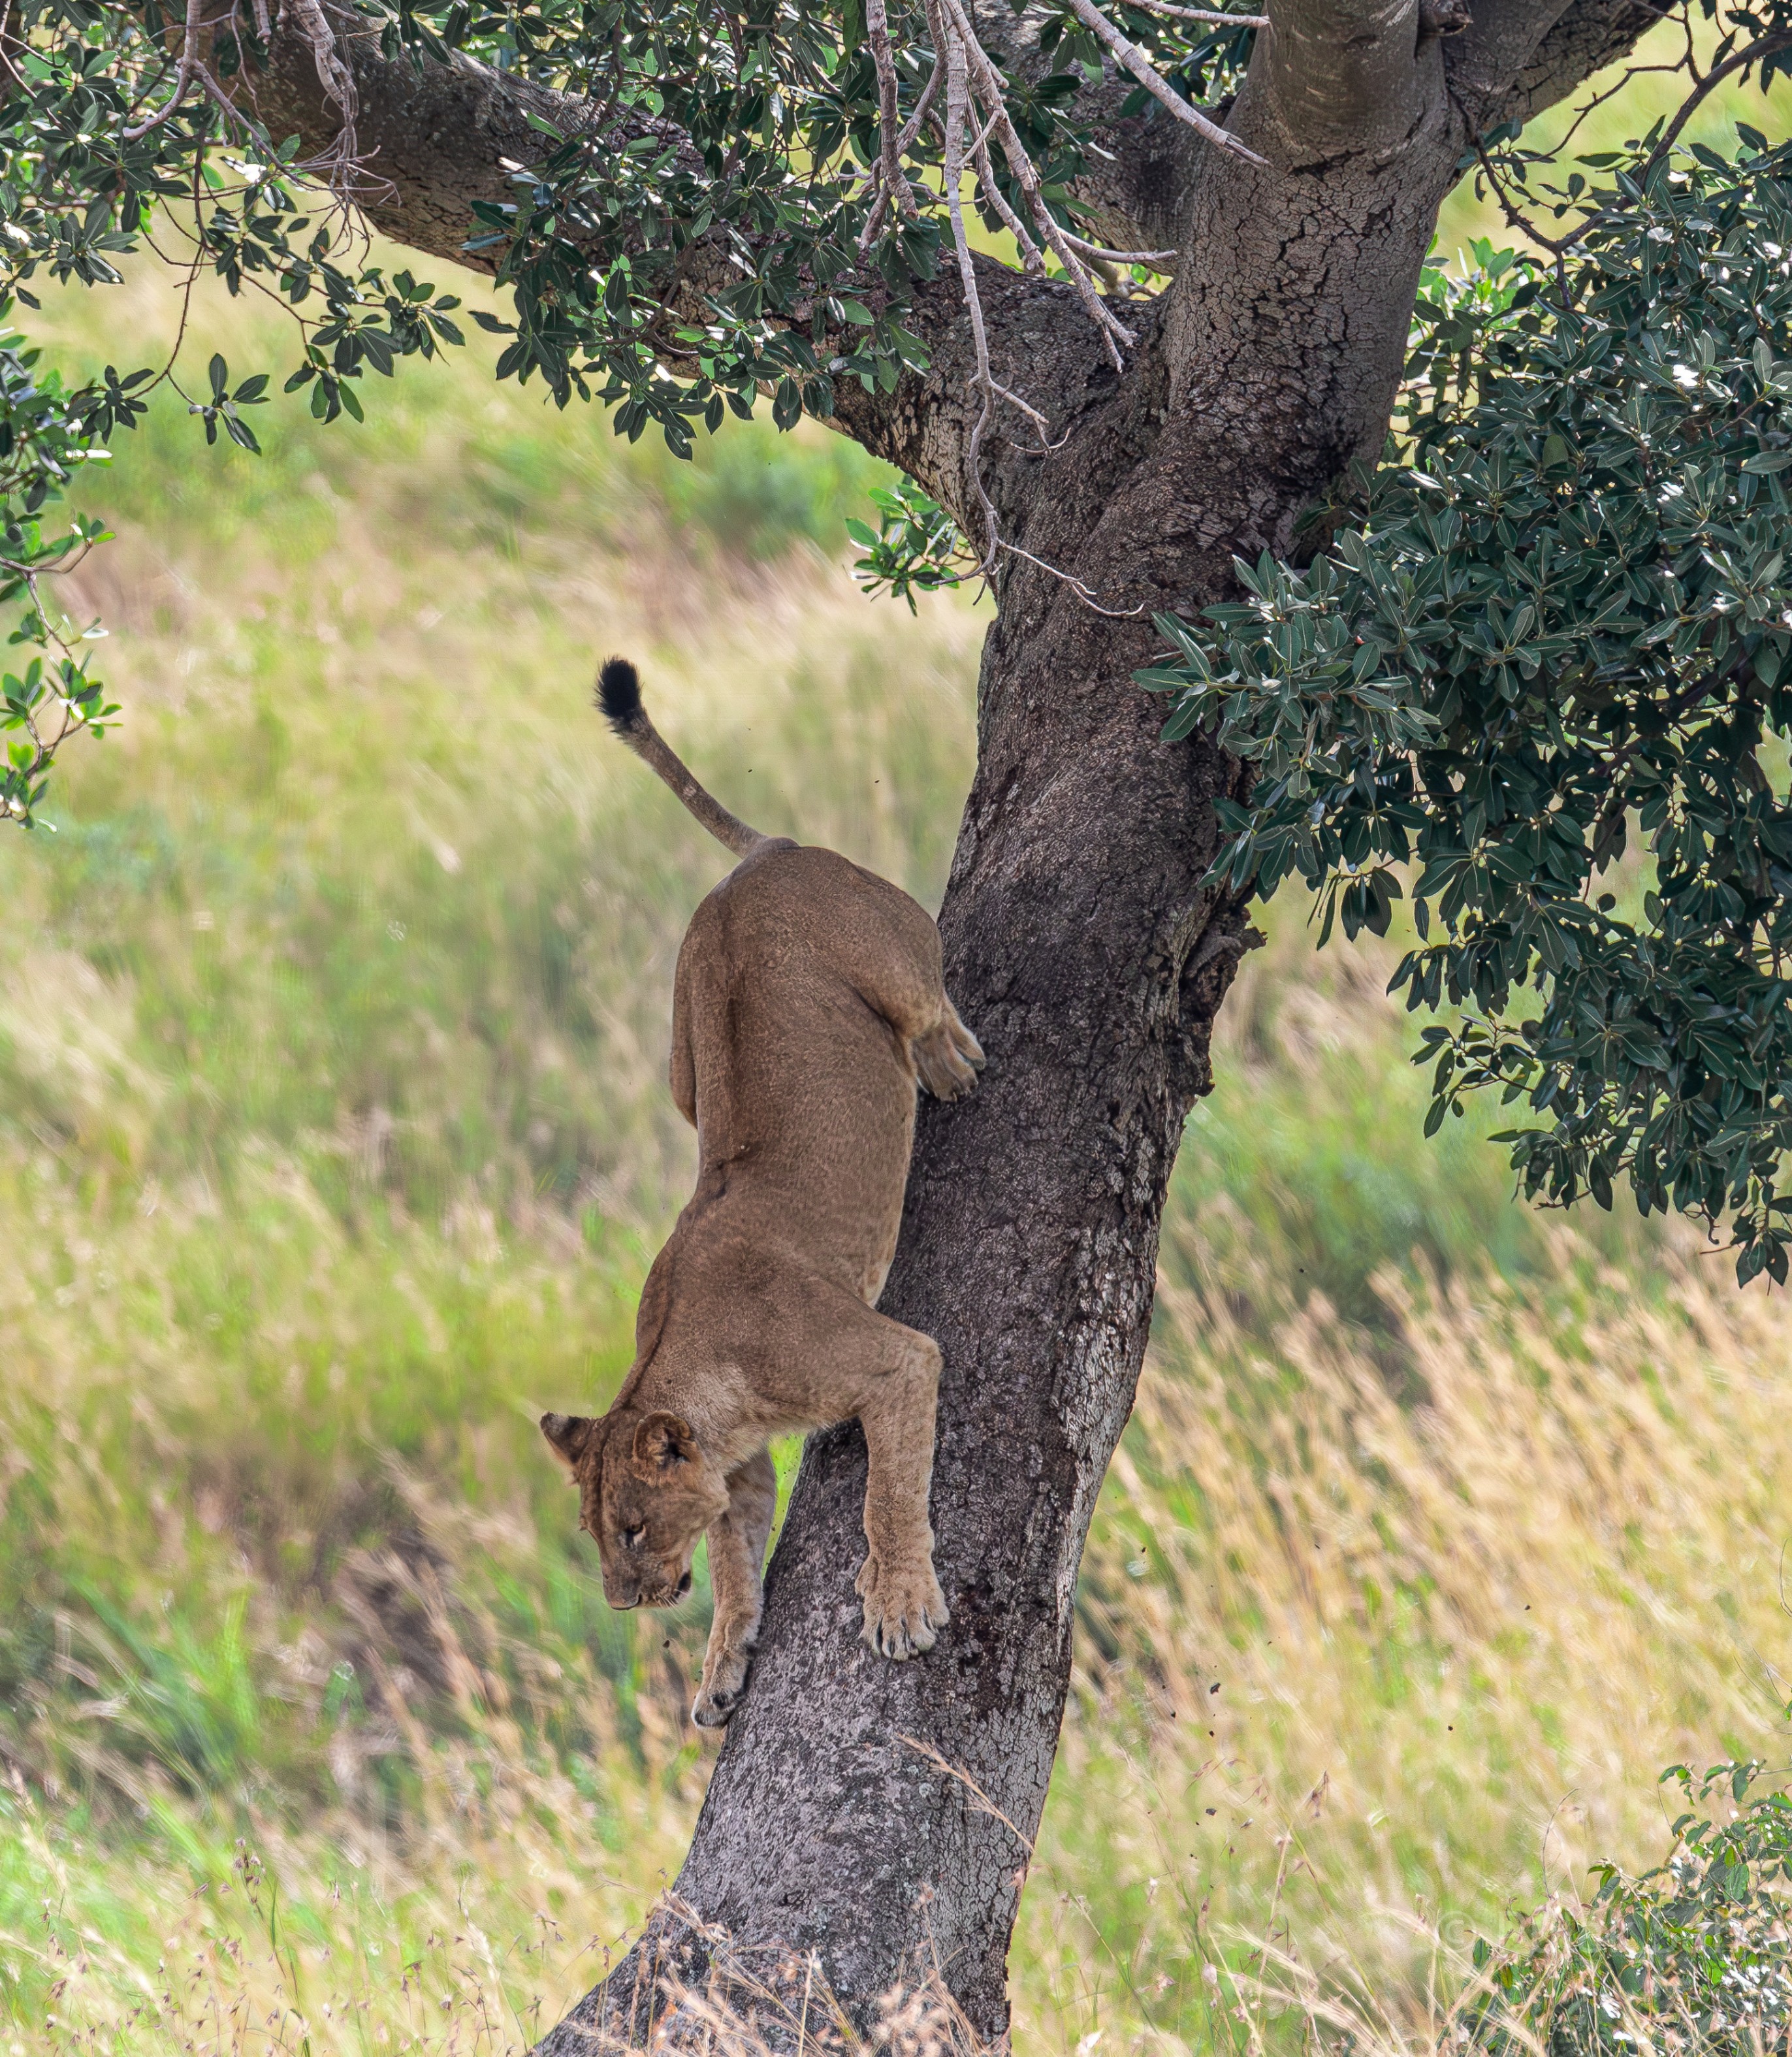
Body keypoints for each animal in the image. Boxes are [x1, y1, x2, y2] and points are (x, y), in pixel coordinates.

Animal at [540, 658, 983, 1728]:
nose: (628, 1602)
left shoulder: (893, 1360)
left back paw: (947, 1063)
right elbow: (739, 1564)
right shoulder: (734, 1467)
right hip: (679, 1071)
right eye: (599, 1532)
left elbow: (889, 1492)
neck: (685, 1373)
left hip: (888, 959)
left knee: (930, 994)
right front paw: (721, 1666)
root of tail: (768, 856)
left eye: (632, 1527)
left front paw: (899, 1603)